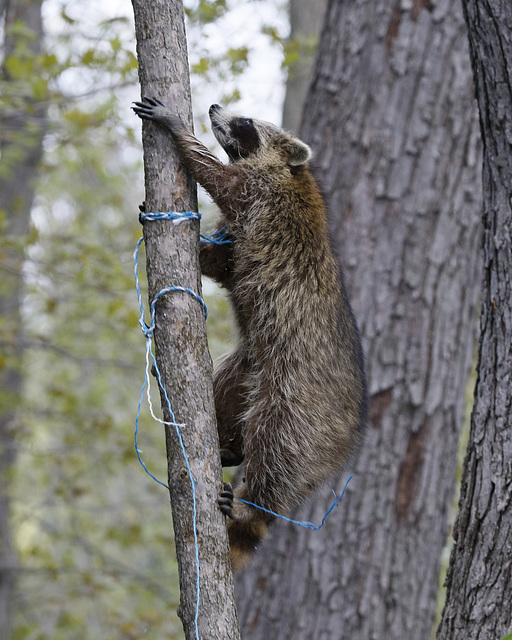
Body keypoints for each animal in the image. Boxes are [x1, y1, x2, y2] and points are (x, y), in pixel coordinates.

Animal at [130, 99, 366, 568]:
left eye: (246, 123)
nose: (213, 106)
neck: (292, 172)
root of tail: (349, 432)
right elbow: (223, 262)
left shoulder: (260, 195)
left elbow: (218, 177)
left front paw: (180, 131)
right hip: (250, 366)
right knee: (223, 385)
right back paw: (229, 446)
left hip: (301, 400)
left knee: (278, 447)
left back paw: (255, 504)